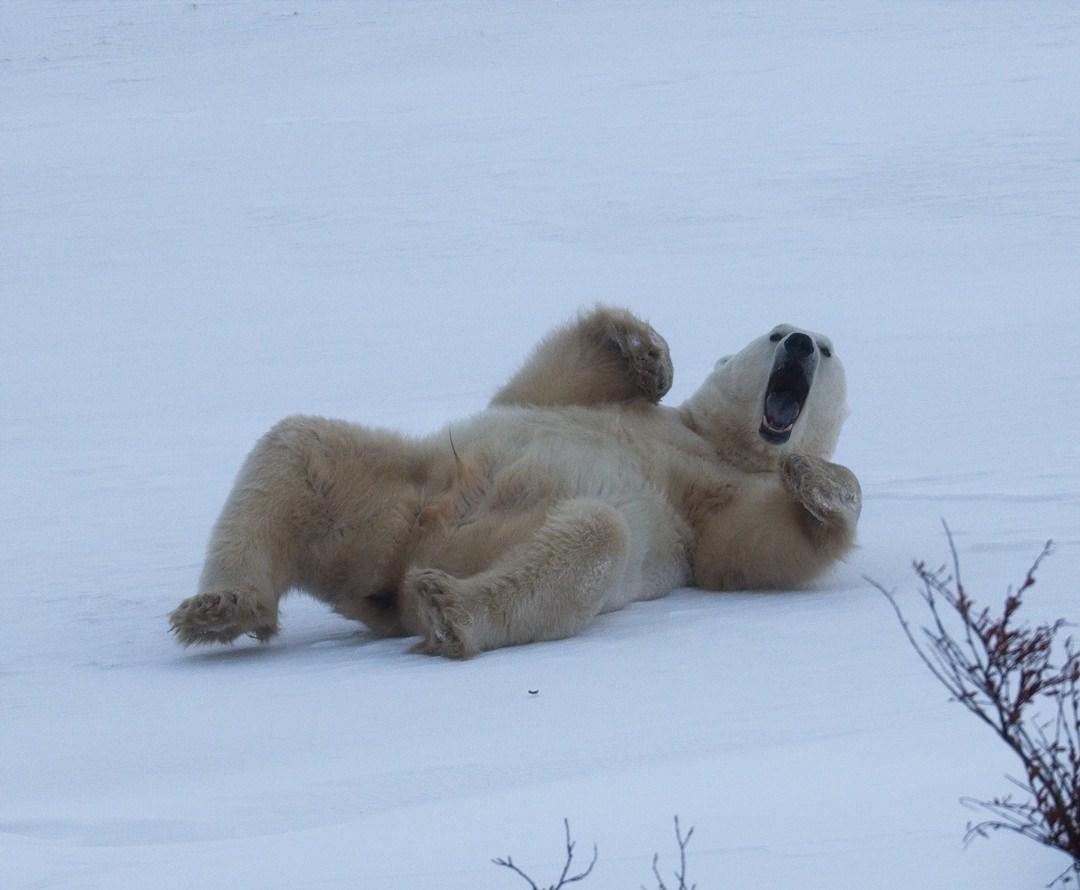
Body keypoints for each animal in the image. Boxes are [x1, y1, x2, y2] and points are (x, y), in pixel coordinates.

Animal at [169, 306, 860, 658]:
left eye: (827, 350)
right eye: (774, 333)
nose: (800, 343)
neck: (715, 441)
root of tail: (391, 573)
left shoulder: (716, 502)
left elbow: (758, 546)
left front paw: (820, 478)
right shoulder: (603, 408)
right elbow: (555, 374)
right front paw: (649, 352)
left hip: (455, 533)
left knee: (593, 537)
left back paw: (449, 607)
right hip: (398, 491)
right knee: (298, 445)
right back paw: (220, 606)